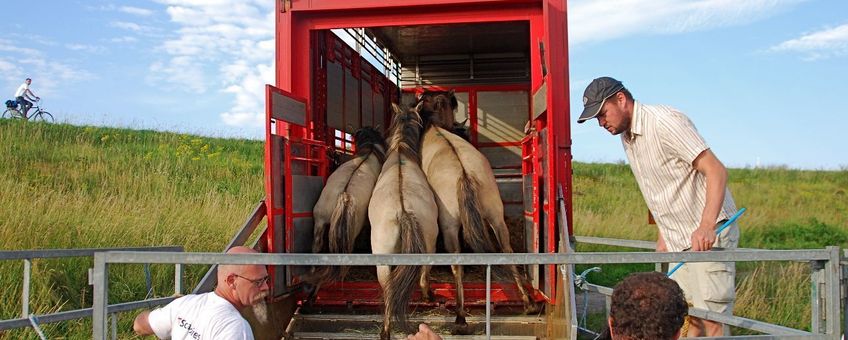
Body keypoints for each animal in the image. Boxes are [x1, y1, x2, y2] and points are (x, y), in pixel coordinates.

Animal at [420, 91, 544, 334]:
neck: (434, 126)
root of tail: (464, 173)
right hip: (496, 217)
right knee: (506, 249)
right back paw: (528, 303)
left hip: (449, 226)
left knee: (456, 262)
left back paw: (460, 318)